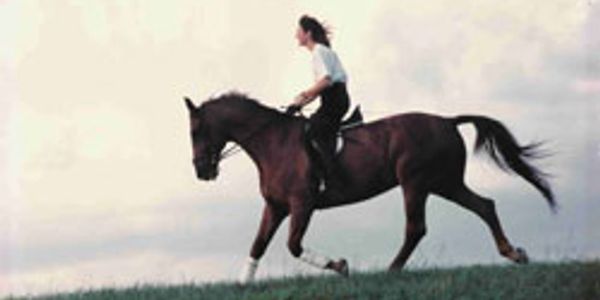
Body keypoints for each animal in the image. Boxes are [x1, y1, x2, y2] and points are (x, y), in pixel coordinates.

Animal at [183, 92, 552, 284]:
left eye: (195, 131)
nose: (201, 171)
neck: (273, 143)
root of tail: (447, 121)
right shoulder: (275, 207)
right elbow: (258, 245)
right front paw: (243, 284)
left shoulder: (302, 204)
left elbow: (293, 245)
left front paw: (340, 266)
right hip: (444, 182)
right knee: (485, 206)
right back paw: (513, 253)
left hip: (416, 181)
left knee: (416, 227)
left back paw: (391, 271)